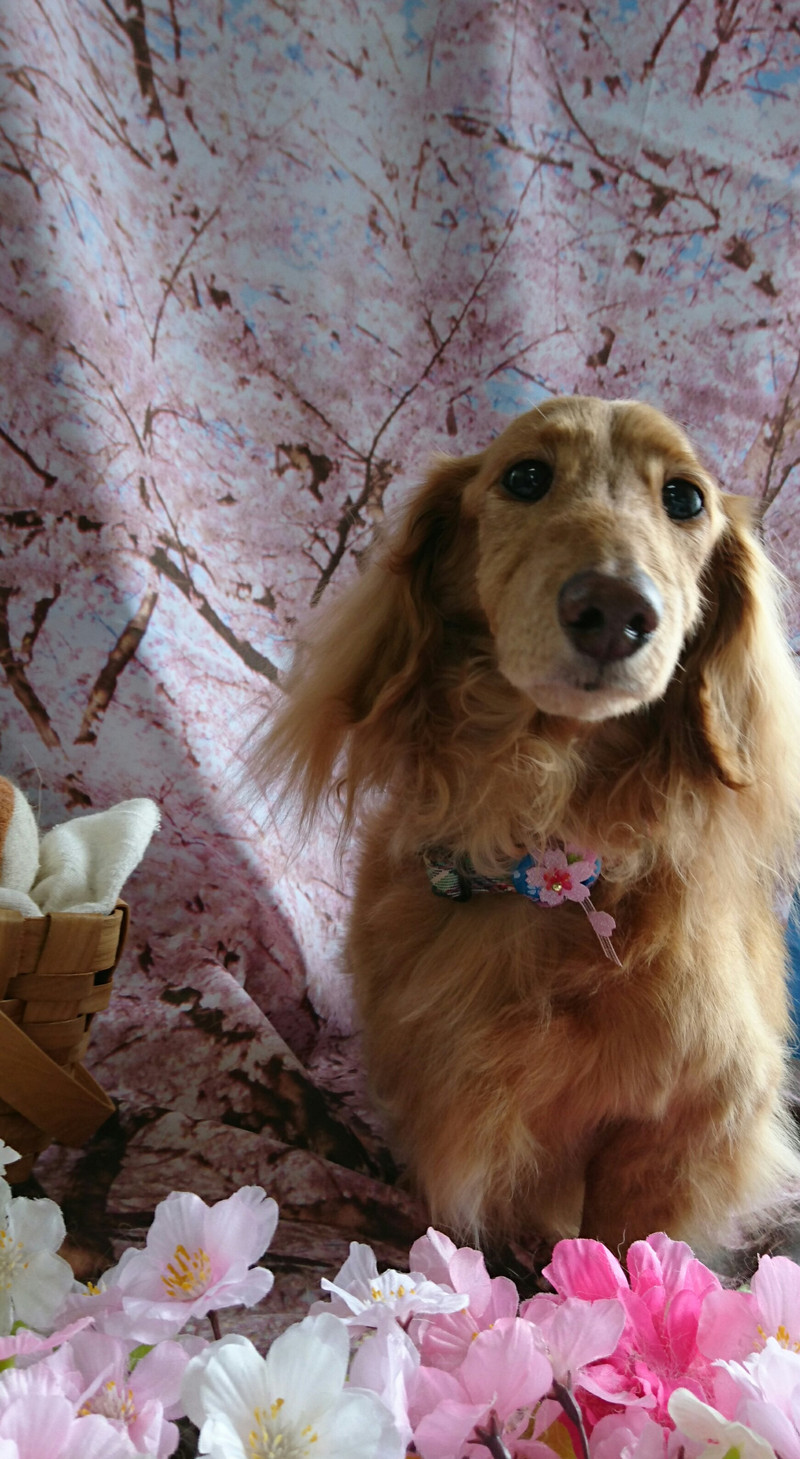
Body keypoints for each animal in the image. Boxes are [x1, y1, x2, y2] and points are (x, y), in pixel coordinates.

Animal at [256, 395, 800, 1253]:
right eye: (526, 476)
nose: (614, 610)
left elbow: (628, 1236)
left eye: (685, 498)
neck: (538, 836)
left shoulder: (685, 1120)